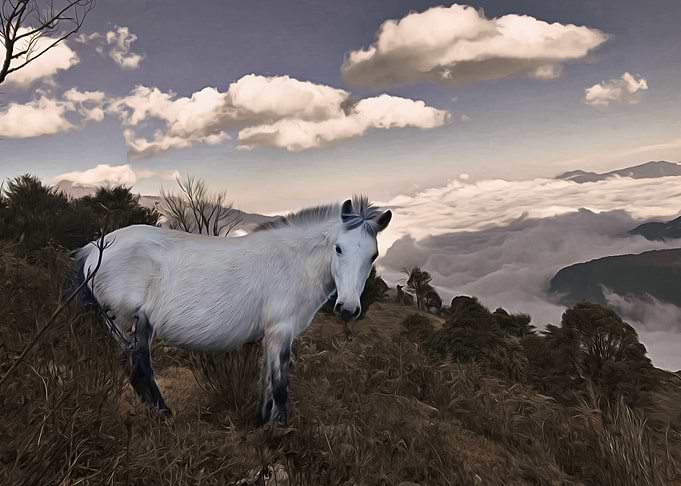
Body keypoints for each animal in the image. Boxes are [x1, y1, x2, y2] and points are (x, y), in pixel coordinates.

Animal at [75, 196, 392, 425]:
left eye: (373, 255)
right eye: (338, 248)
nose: (348, 309)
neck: (293, 262)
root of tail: (94, 248)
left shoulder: (272, 335)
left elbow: (266, 383)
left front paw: (261, 423)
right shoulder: (281, 331)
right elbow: (279, 386)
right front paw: (281, 433)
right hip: (124, 323)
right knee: (138, 371)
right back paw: (165, 418)